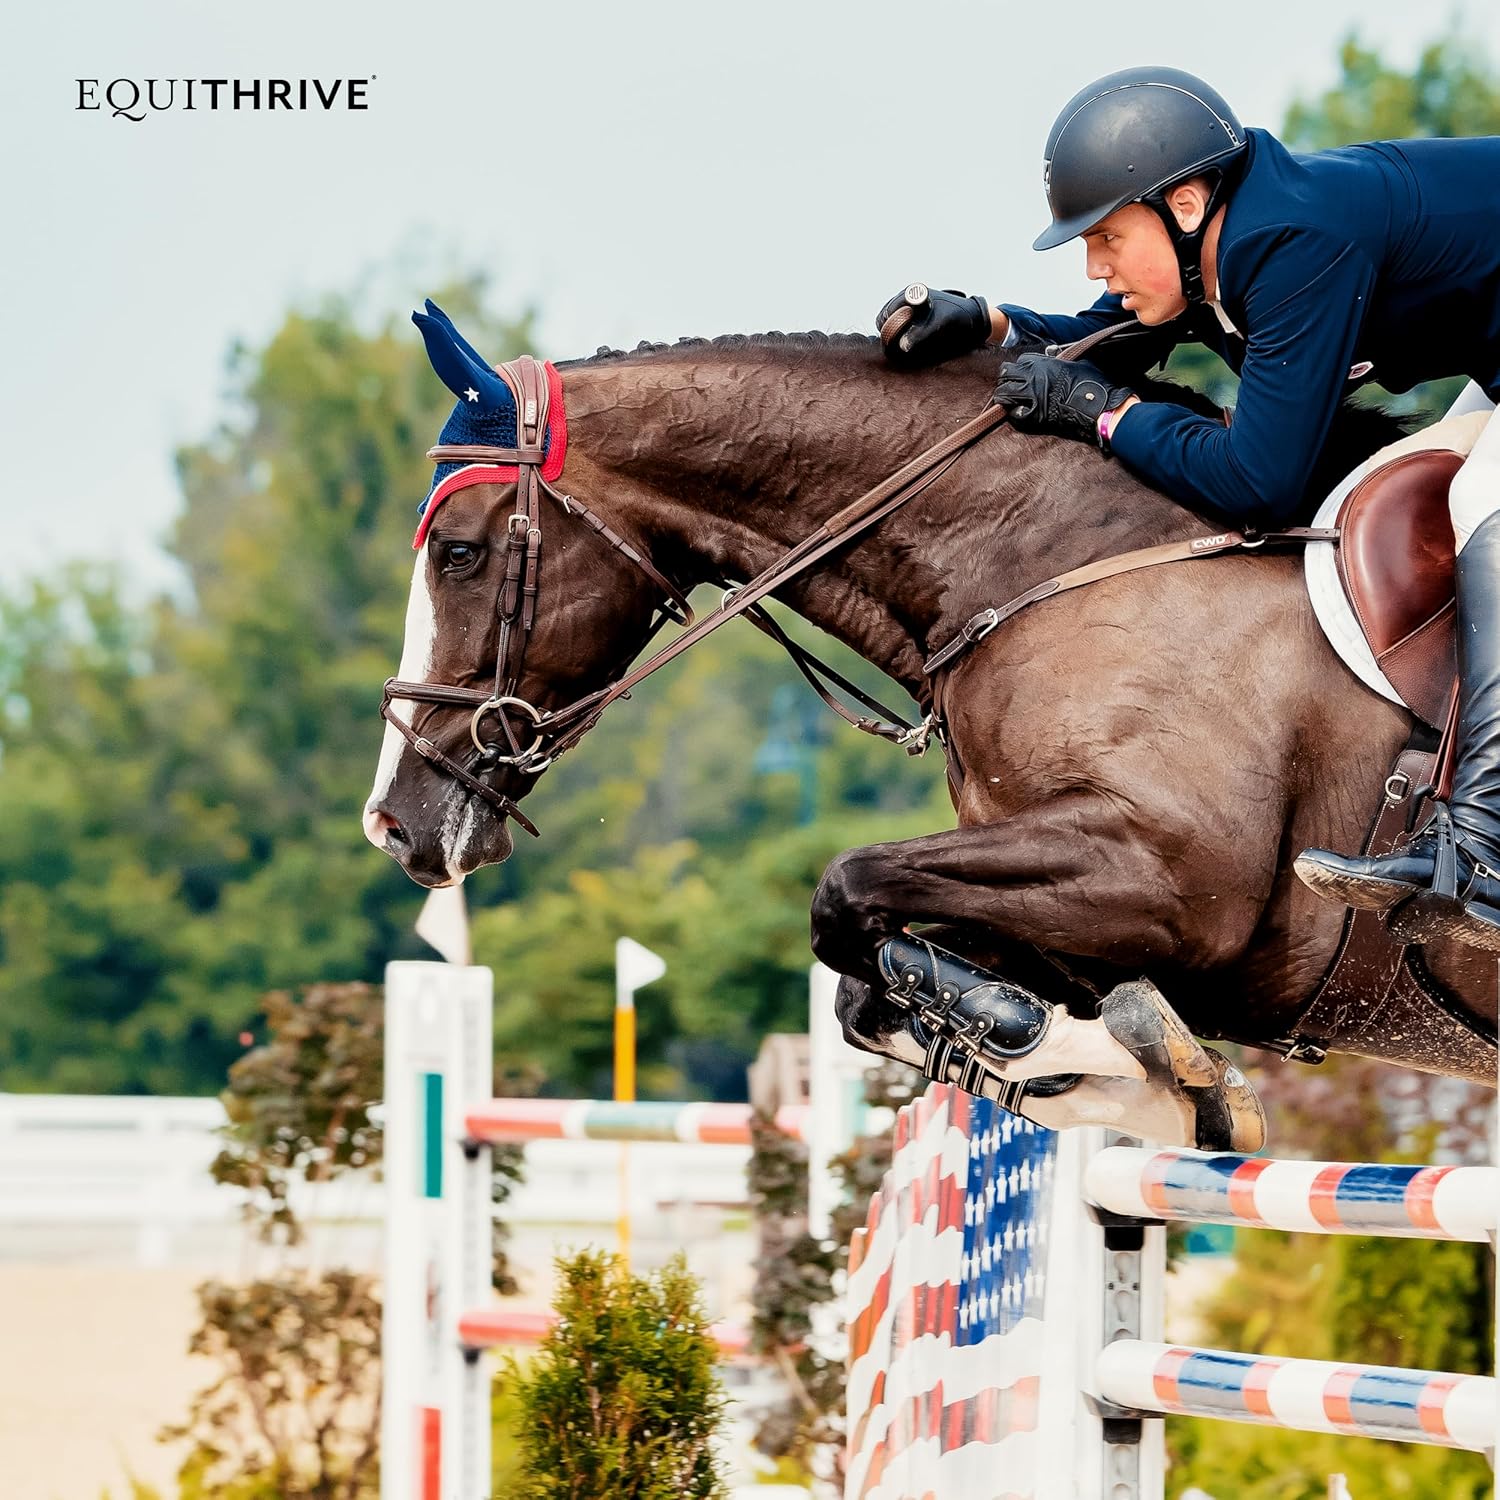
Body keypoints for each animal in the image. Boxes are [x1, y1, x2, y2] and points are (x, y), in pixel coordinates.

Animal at [363, 314, 1497, 1147]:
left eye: (459, 553)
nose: (395, 821)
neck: (1061, 554)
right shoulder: (1078, 895)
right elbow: (872, 985)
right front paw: (1101, 1071)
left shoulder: (1167, 877)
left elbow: (845, 890)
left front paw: (1106, 1066)